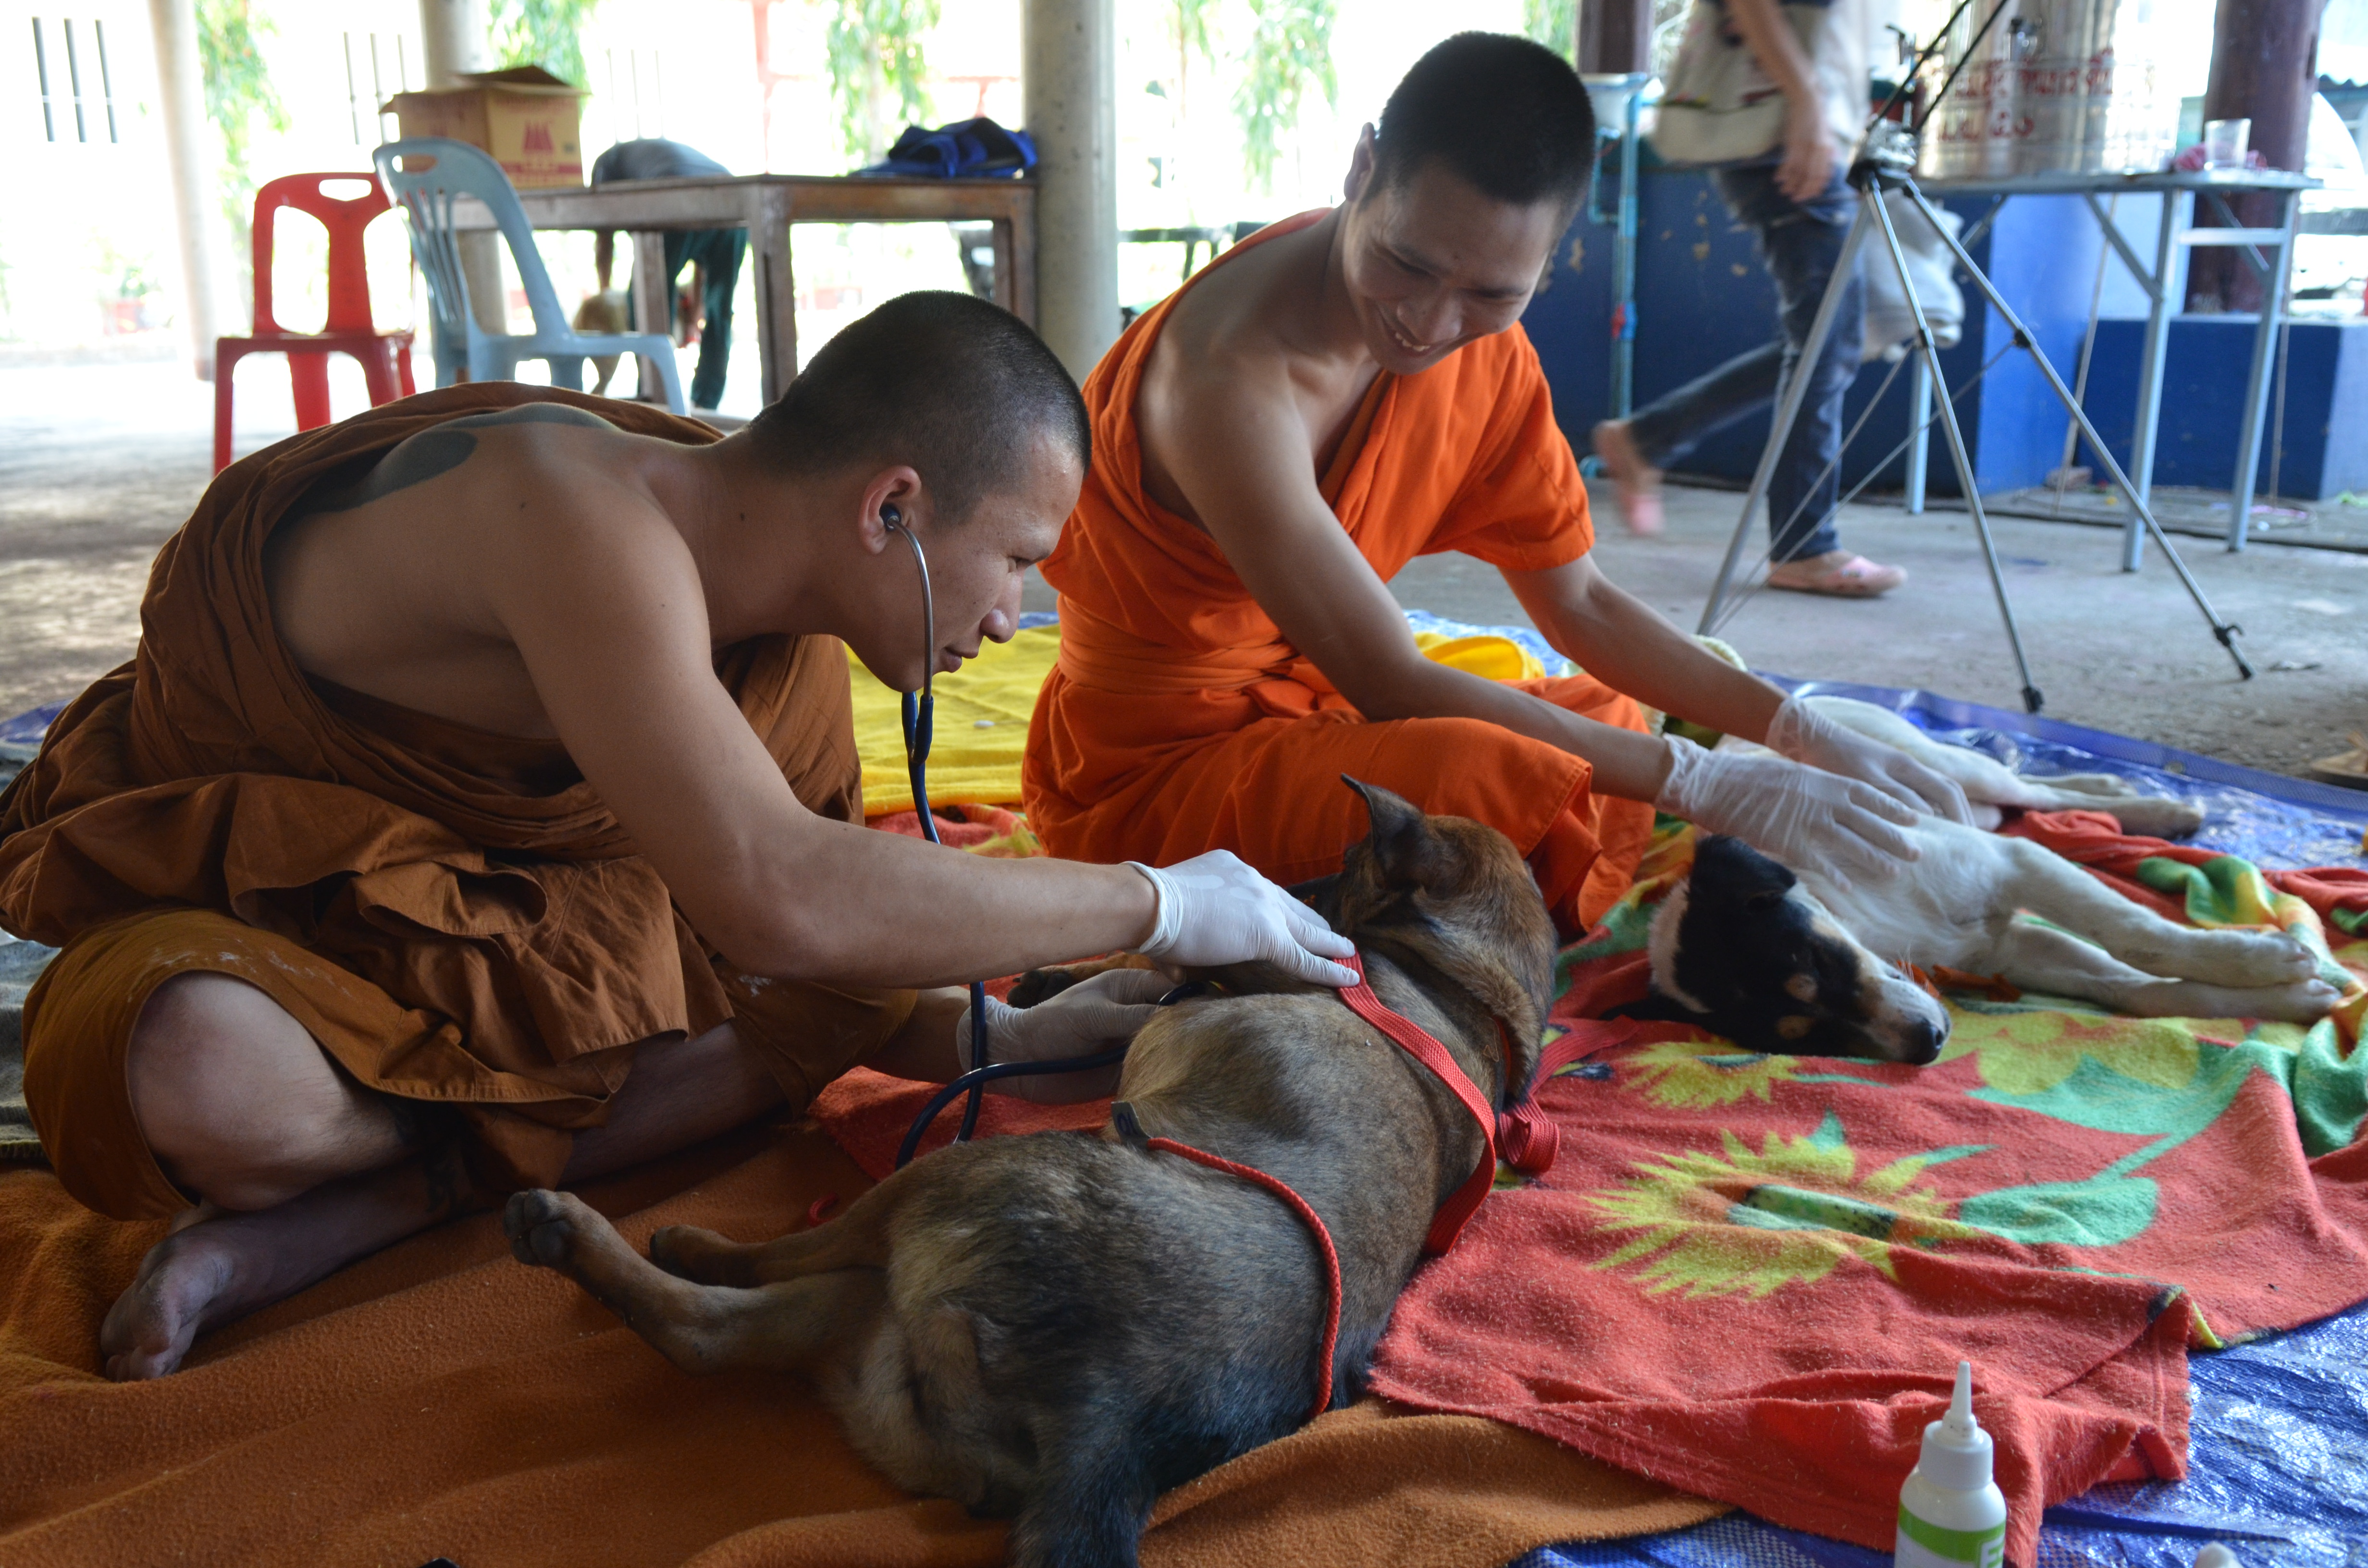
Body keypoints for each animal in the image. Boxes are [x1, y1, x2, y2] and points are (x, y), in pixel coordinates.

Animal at [499, 786, 1553, 1568]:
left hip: (947, 1182)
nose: (1292, 889)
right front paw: (1055, 982)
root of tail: (1111, 1438)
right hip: (868, 1332)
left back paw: (634, 1233)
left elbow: (1162, 953)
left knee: (752, 1273)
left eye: (1341, 864)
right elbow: (1125, 965)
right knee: (706, 1332)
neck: (1465, 987)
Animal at [1648, 701, 2349, 1061]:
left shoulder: (2016, 866)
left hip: (1939, 765)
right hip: (1971, 805)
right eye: (1807, 1036)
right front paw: (2294, 999)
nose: (1928, 1044)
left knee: (2033, 790)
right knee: (2023, 800)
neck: (1870, 921)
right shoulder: (2009, 948)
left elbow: (2141, 936)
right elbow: (2138, 991)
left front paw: (2267, 959)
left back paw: (2156, 806)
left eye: (1818, 963)